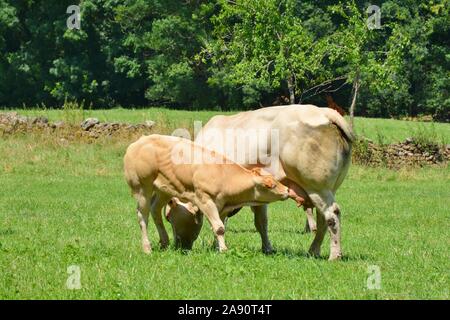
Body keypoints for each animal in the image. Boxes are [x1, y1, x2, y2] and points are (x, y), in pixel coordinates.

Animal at [123, 134, 292, 254]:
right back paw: (147, 248)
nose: (287, 190)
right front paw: (224, 250)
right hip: (142, 188)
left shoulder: (222, 206)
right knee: (142, 216)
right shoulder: (205, 200)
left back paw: (164, 242)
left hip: (164, 190)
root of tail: (138, 142)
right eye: (270, 185)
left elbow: (220, 226)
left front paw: (217, 247)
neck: (223, 174)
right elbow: (219, 227)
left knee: (155, 210)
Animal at [192, 105, 354, 260]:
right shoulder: (259, 193)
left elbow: (219, 219)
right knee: (323, 219)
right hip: (326, 190)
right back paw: (313, 251)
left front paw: (217, 246)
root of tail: (324, 112)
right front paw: (267, 248)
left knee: (332, 215)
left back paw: (334, 255)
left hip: (317, 187)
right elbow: (260, 222)